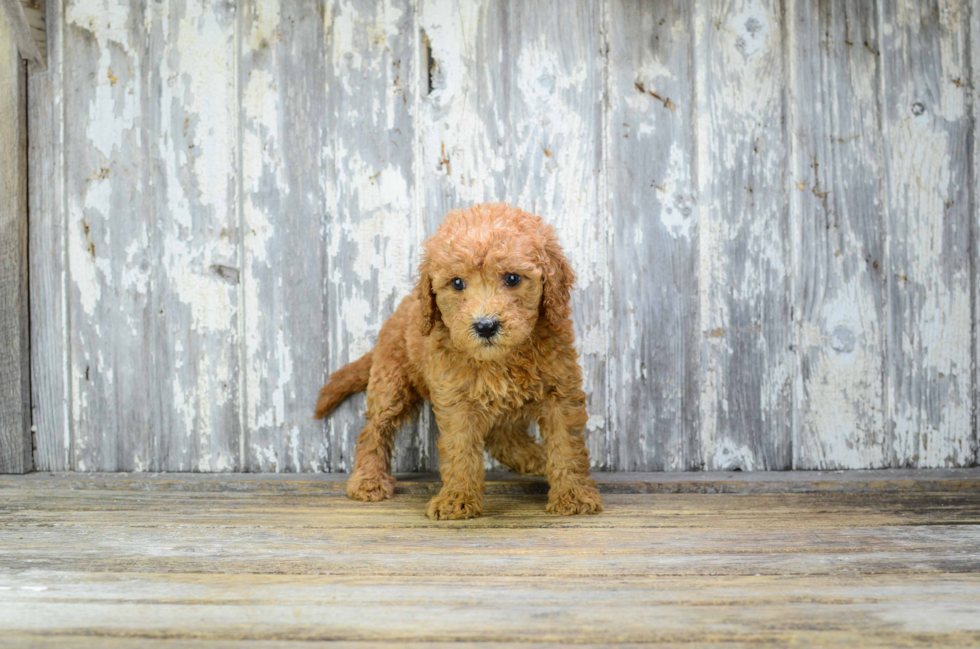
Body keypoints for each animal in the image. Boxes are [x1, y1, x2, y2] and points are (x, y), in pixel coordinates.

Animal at [318, 200, 600, 520]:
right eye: (456, 283)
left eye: (512, 278)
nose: (486, 326)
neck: (500, 360)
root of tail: (402, 308)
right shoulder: (456, 399)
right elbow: (460, 450)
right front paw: (457, 499)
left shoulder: (560, 391)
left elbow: (567, 445)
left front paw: (573, 496)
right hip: (390, 382)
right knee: (373, 430)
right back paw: (368, 480)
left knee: (503, 438)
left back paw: (537, 458)